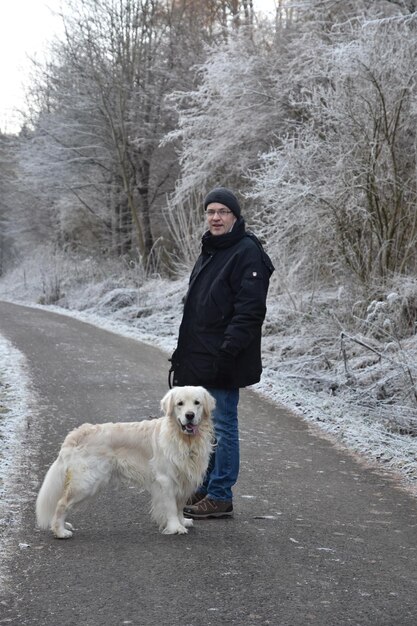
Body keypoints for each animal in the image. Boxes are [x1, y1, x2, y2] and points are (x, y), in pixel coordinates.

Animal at [35, 386, 214, 536]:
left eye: (197, 403)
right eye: (180, 404)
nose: (189, 415)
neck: (184, 440)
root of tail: (76, 434)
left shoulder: (186, 479)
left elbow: (180, 505)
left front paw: (183, 521)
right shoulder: (166, 480)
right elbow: (171, 506)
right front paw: (175, 527)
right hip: (87, 483)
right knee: (61, 503)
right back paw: (60, 531)